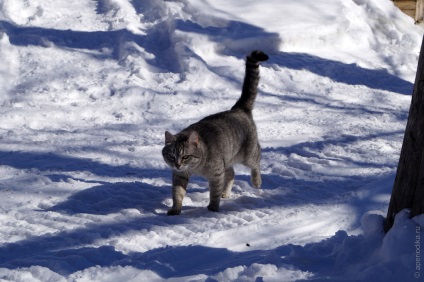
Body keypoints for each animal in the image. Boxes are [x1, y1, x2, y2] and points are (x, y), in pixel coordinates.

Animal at [162, 50, 268, 215]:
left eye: (185, 156)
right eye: (172, 156)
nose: (177, 164)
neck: (196, 166)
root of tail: (238, 109)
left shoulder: (216, 174)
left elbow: (214, 192)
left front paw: (212, 207)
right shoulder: (179, 176)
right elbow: (177, 194)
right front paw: (175, 209)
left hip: (248, 155)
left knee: (256, 160)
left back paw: (256, 182)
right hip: (228, 158)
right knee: (231, 173)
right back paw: (226, 192)